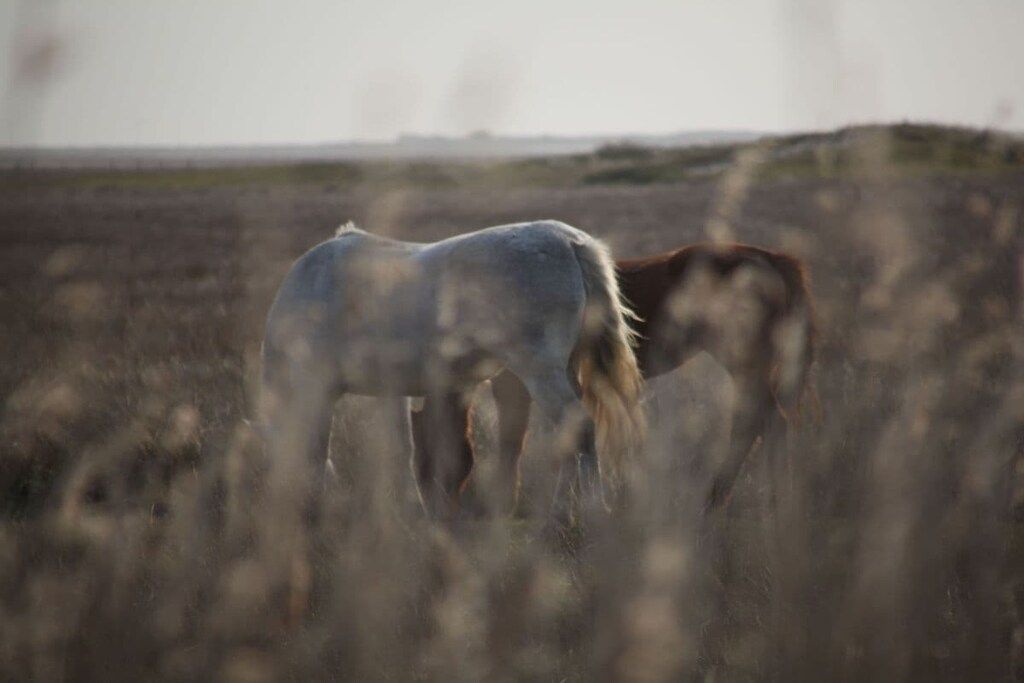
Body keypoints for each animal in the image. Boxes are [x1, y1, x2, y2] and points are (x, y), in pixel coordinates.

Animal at [259, 220, 644, 522]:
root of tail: (569, 241)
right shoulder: (390, 392)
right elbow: (401, 449)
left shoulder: (315, 390)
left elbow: (316, 452)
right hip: (563, 371)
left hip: (541, 373)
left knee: (578, 429)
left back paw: (583, 510)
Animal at [413, 242, 816, 513]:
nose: (434, 509)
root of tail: (772, 260)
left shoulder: (517, 380)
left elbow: (513, 442)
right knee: (761, 423)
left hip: (742, 361)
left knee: (764, 422)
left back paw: (739, 498)